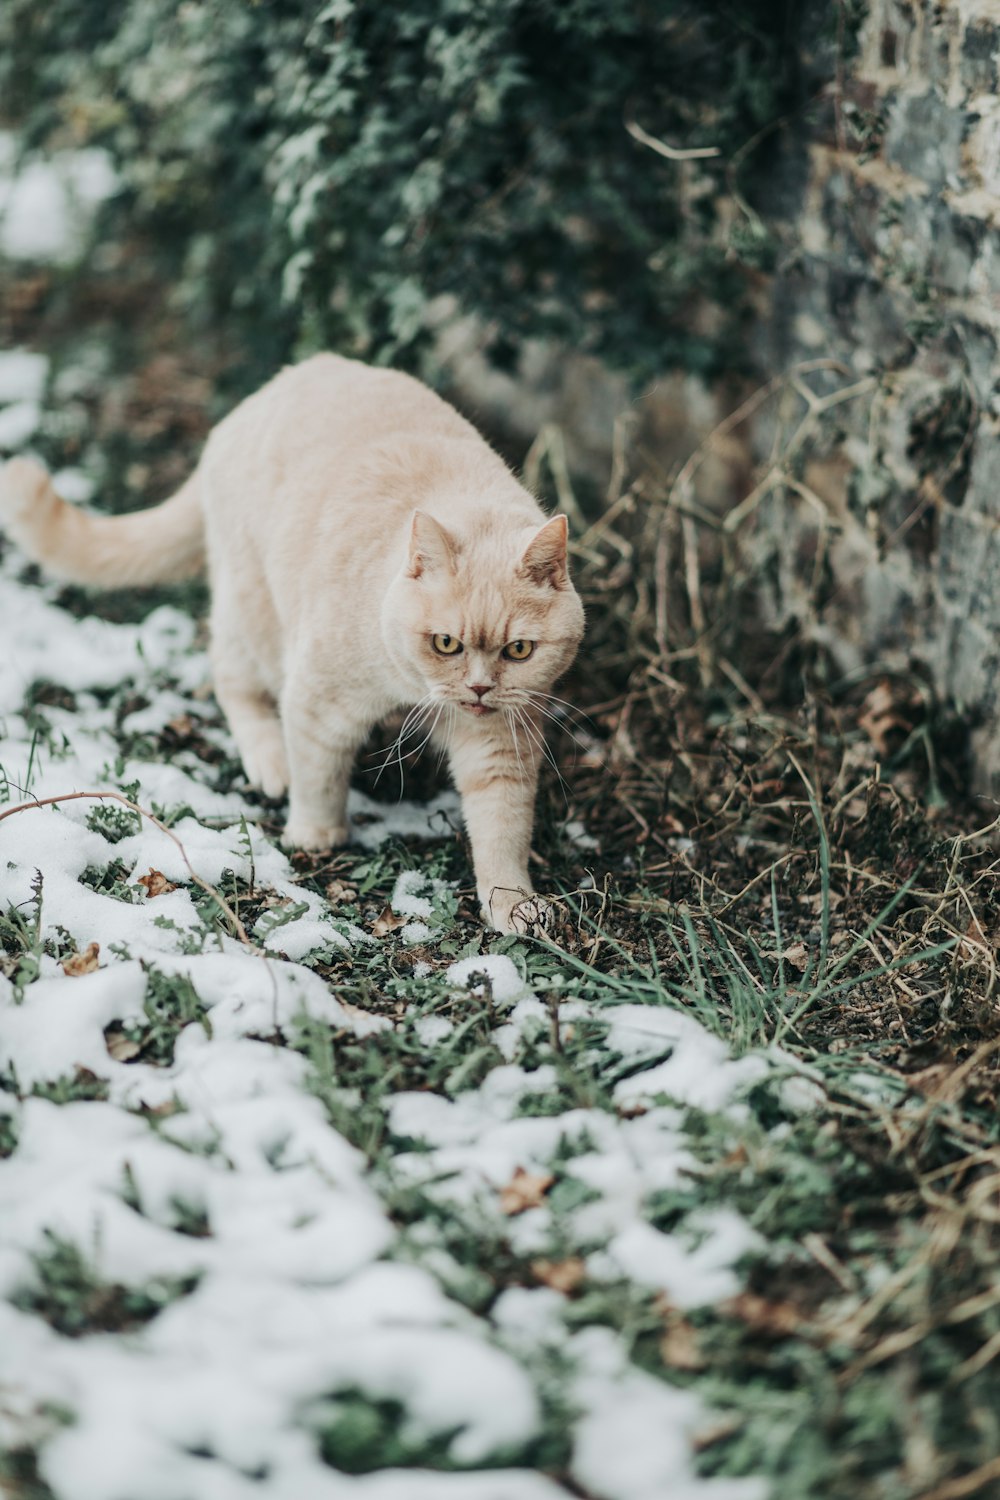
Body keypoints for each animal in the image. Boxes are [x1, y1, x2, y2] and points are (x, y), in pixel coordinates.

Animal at [0, 355, 581, 930]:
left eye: (519, 651)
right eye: (445, 643)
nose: (480, 690)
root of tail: (263, 395)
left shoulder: (500, 740)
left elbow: (502, 826)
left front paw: (512, 903)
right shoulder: (320, 701)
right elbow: (319, 774)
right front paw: (316, 834)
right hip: (253, 614)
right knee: (231, 681)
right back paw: (269, 761)